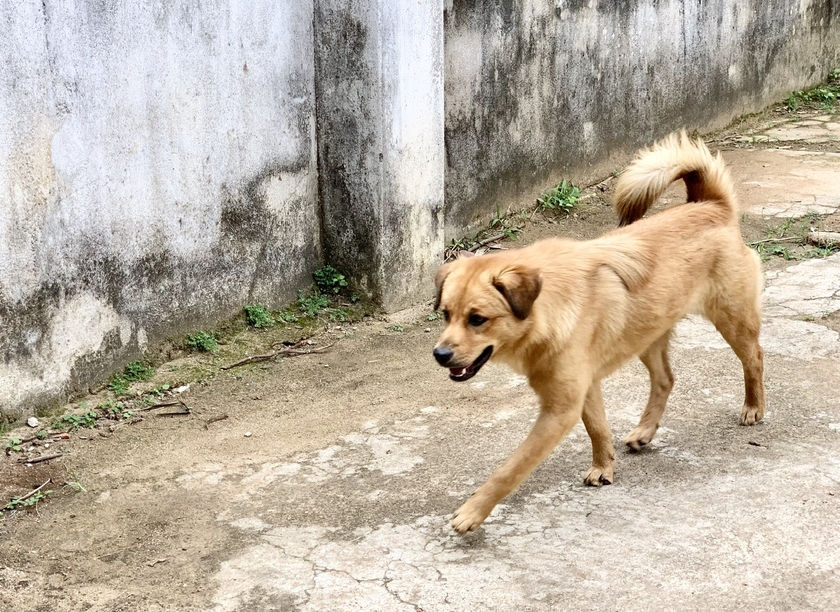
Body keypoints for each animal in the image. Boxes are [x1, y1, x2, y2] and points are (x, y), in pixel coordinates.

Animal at [434, 131, 768, 532]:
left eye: (478, 319)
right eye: (446, 314)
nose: (439, 355)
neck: (547, 306)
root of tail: (711, 205)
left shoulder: (559, 410)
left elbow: (511, 468)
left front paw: (473, 511)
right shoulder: (584, 387)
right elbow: (597, 428)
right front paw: (604, 467)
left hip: (731, 318)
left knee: (755, 357)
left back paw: (754, 407)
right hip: (647, 333)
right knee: (665, 379)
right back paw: (644, 431)